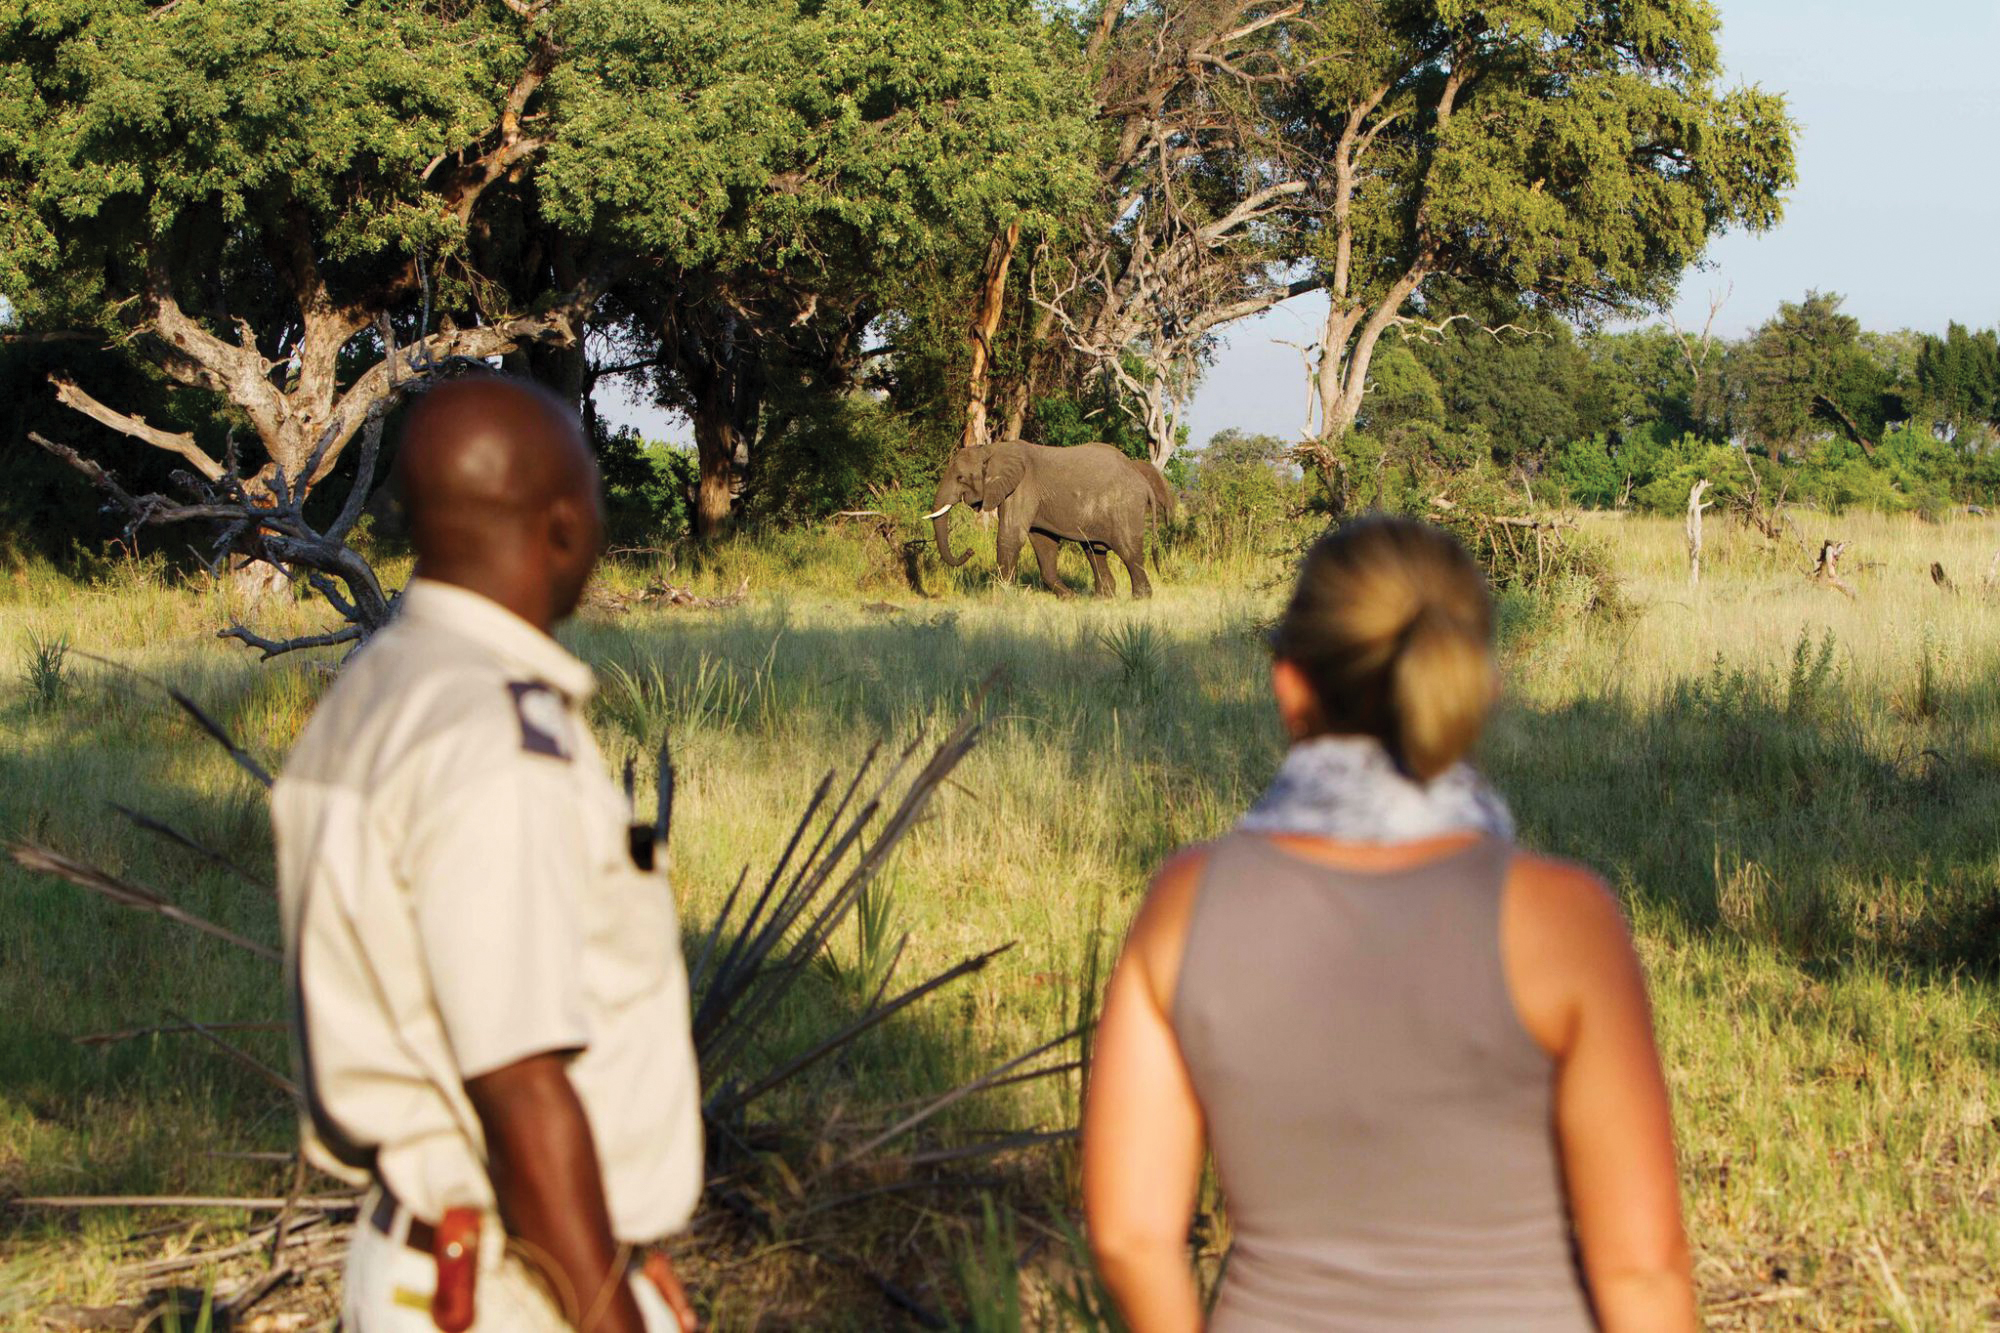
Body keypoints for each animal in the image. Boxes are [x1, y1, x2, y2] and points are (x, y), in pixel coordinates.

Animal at [927, 439, 1173, 598]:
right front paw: (1069, 598)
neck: (990, 449)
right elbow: (1043, 542)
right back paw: (1103, 598)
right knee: (1094, 550)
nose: (970, 551)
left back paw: (1140, 598)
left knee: (1128, 551)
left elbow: (1010, 537)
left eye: (960, 478)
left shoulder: (1023, 486)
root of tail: (1143, 482)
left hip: (1125, 507)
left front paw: (1001, 596)